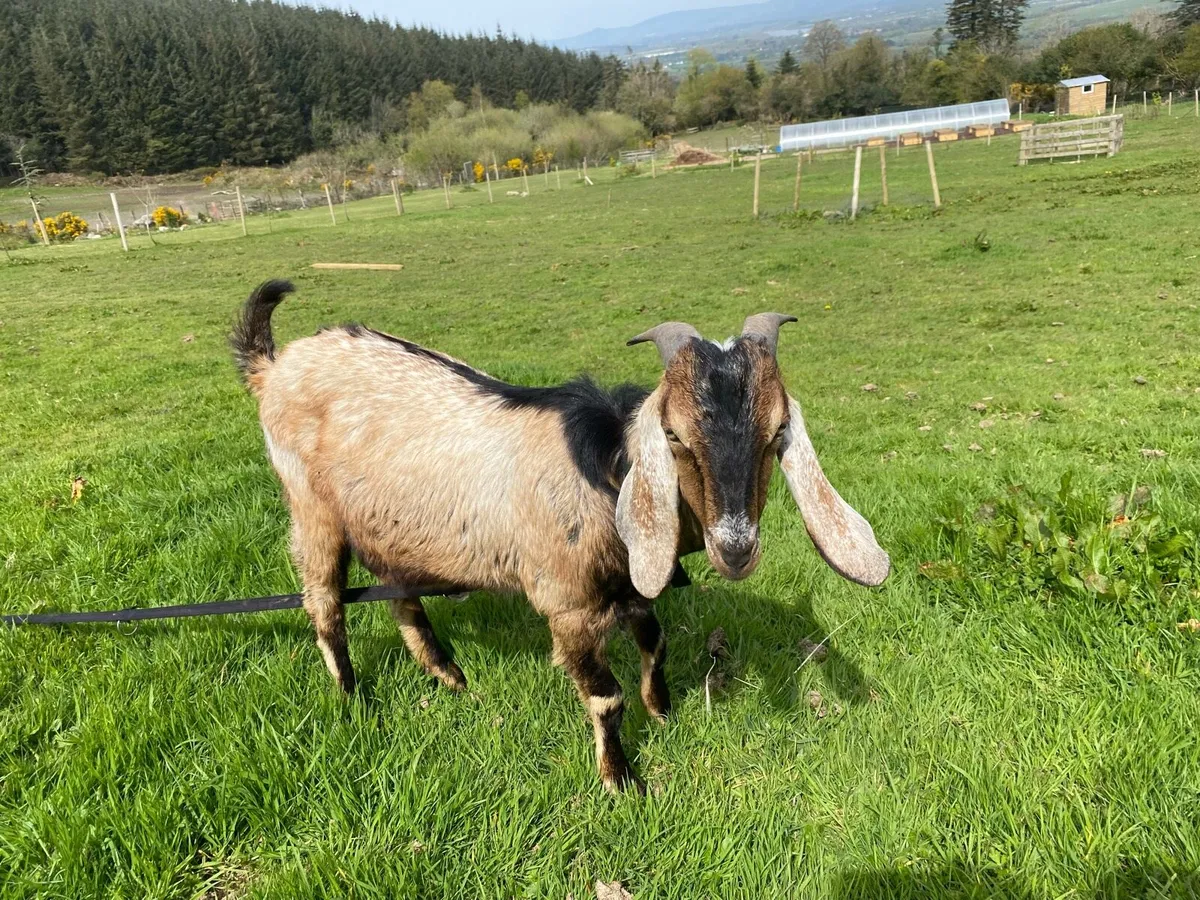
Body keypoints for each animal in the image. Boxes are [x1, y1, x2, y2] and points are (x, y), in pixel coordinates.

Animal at [231, 280, 889, 791]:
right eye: (674, 435)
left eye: (776, 431)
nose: (736, 548)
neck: (604, 472)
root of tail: (274, 367)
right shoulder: (568, 603)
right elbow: (605, 696)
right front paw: (621, 780)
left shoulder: (628, 586)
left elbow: (655, 642)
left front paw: (663, 711)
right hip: (311, 507)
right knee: (324, 603)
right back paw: (353, 698)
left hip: (388, 527)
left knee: (401, 596)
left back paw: (449, 676)